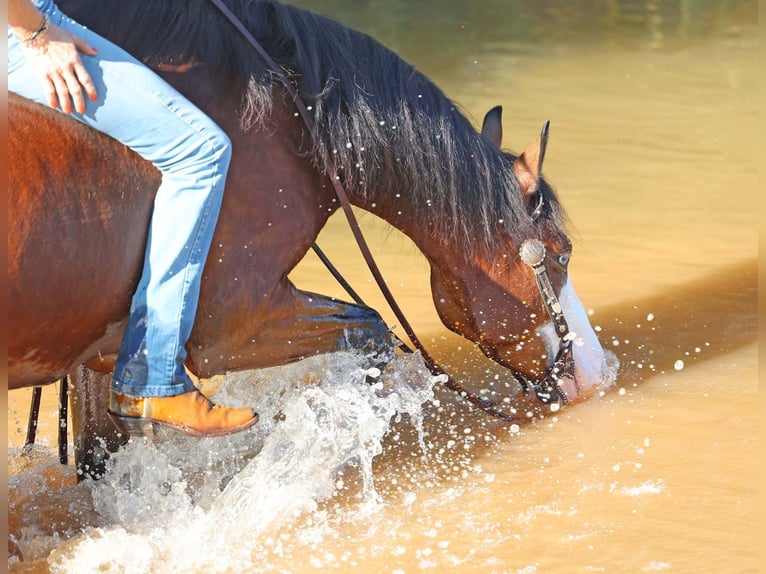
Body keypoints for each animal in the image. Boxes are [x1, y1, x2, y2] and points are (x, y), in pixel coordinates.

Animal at [8, 0, 613, 477]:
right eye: (561, 255)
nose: (598, 372)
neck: (286, 122)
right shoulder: (236, 325)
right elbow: (371, 333)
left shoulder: (97, 353)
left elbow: (98, 457)